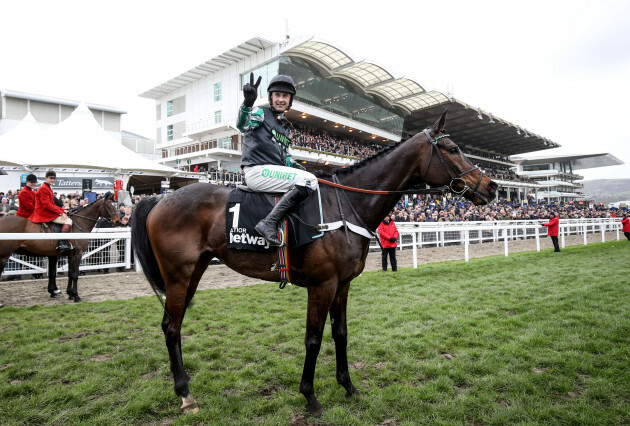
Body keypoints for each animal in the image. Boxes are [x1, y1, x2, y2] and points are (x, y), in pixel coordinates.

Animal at [132, 112, 498, 416]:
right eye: (452, 148)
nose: (492, 186)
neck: (347, 204)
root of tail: (160, 198)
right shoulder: (322, 284)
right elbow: (313, 338)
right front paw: (309, 396)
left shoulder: (343, 283)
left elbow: (341, 333)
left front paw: (348, 386)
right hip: (178, 274)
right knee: (171, 327)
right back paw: (185, 394)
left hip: (195, 270)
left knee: (172, 324)